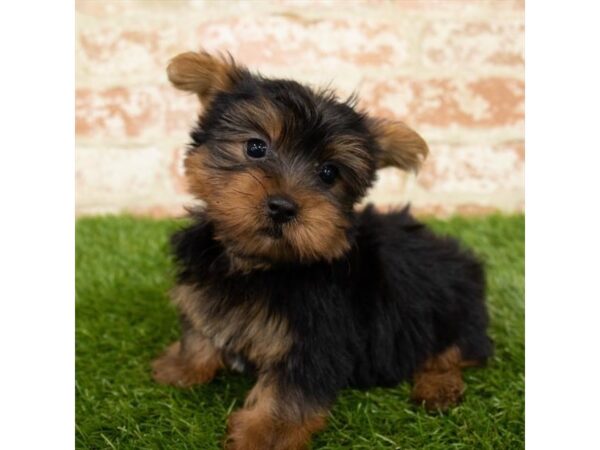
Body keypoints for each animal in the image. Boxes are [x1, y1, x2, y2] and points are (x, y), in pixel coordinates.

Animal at [151, 51, 492, 450]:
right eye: (255, 147)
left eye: (329, 172)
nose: (282, 207)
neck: (263, 264)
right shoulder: (205, 286)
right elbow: (200, 328)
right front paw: (182, 367)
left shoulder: (318, 336)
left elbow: (290, 392)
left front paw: (263, 435)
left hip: (450, 306)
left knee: (455, 350)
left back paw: (438, 386)